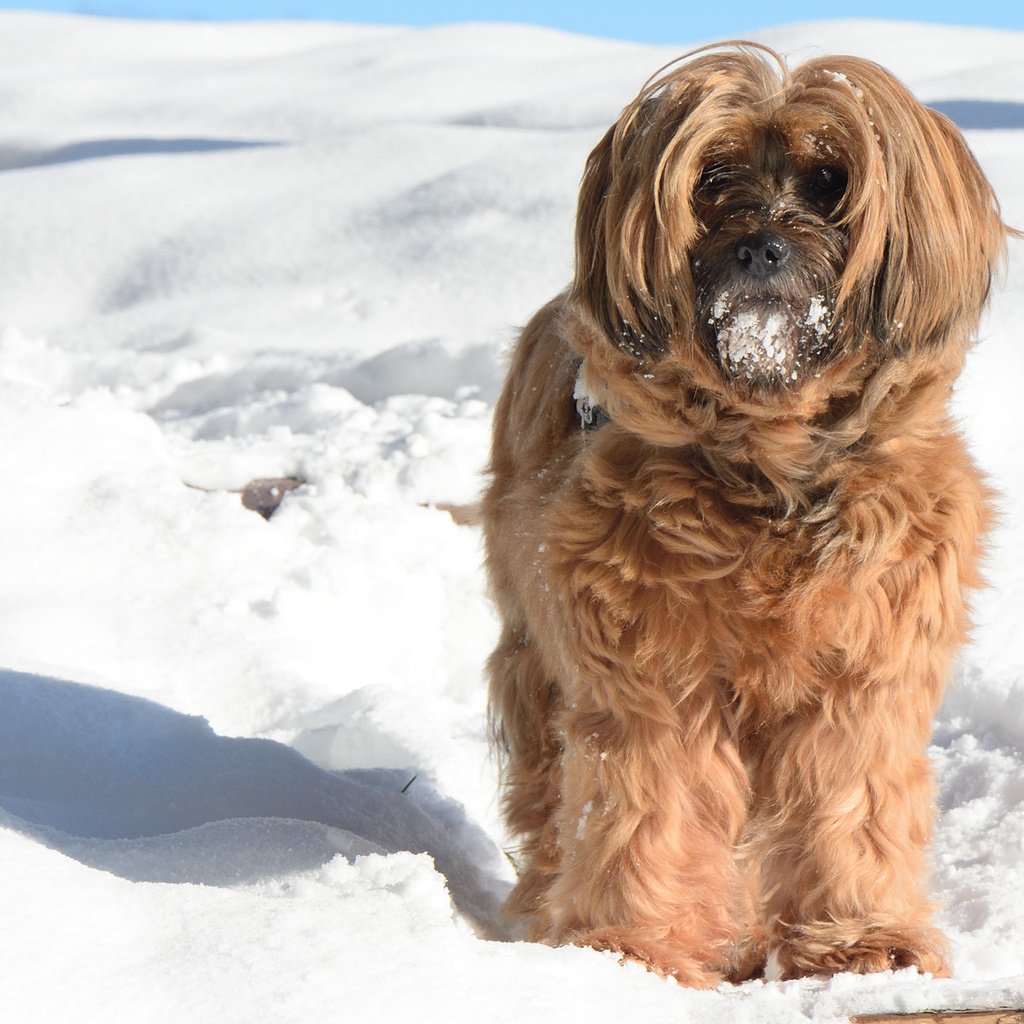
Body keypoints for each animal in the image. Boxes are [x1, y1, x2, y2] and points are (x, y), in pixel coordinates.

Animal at [483, 44, 1011, 987]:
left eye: (831, 180)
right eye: (714, 178)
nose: (761, 247)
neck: (769, 472)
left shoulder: (861, 677)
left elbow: (848, 801)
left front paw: (857, 940)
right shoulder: (649, 675)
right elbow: (648, 805)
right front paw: (631, 952)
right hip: (534, 655)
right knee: (549, 793)